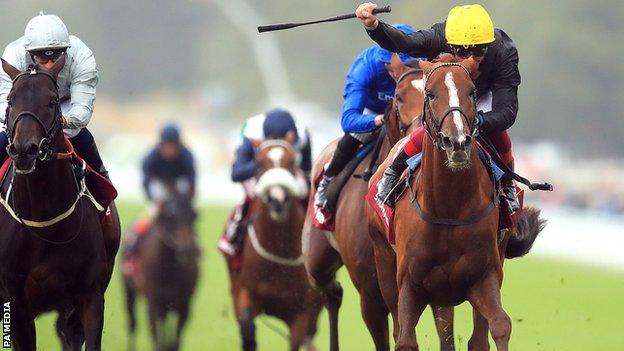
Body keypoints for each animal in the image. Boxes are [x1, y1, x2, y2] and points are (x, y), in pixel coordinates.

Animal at [0, 56, 121, 350]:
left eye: (53, 101)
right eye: (10, 99)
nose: (25, 150)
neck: (44, 222)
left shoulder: (89, 298)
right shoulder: (17, 304)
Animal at [122, 184, 200, 351]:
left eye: (195, 215)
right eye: (170, 214)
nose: (188, 250)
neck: (169, 269)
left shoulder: (184, 305)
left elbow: (174, 343)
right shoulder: (154, 304)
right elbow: (158, 341)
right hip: (128, 290)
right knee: (132, 323)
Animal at [230, 139, 326, 350]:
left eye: (291, 162)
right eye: (259, 164)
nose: (277, 199)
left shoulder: (302, 311)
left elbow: (297, 340)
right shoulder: (245, 292)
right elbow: (247, 328)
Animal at [368, 55, 544, 351]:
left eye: (471, 92)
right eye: (430, 93)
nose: (457, 141)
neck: (447, 207)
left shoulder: (484, 276)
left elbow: (499, 326)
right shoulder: (410, 284)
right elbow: (405, 338)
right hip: (383, 260)